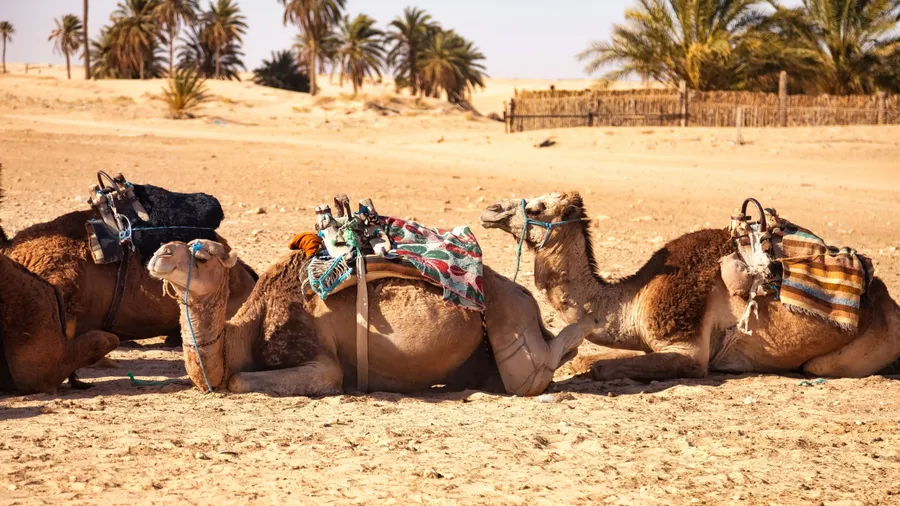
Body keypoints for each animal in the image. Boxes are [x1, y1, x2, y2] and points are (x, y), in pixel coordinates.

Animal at [147, 240, 590, 396]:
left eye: (203, 256)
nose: (159, 253)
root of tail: (525, 297)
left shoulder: (322, 362)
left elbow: (239, 380)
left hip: (507, 318)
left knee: (531, 374)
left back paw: (583, 328)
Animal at [480, 192, 900, 381]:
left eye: (536, 208)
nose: (490, 210)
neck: (634, 298)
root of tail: (888, 301)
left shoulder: (688, 349)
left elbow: (594, 364)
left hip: (854, 351)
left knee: (819, 365)